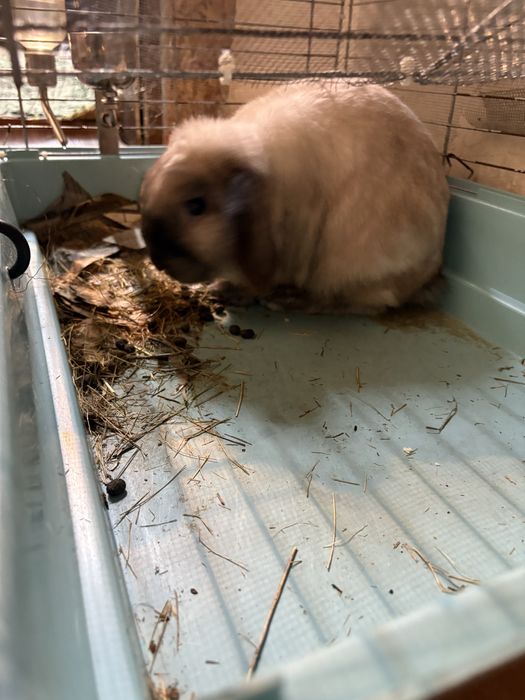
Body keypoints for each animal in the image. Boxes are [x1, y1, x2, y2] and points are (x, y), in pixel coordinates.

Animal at [140, 80, 450, 314]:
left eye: (196, 206)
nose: (158, 260)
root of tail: (426, 277)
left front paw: (229, 292)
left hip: (350, 267)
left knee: (347, 302)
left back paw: (286, 300)